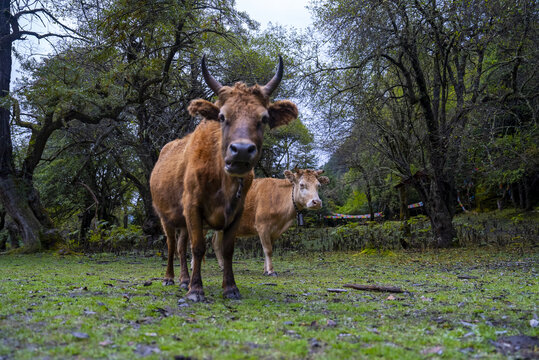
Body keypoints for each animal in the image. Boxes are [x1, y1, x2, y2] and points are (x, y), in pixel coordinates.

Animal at [150, 54, 298, 300]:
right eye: (221, 116)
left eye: (264, 118)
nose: (241, 151)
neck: (222, 179)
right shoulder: (192, 206)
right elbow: (198, 247)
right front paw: (196, 289)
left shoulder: (236, 211)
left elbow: (227, 250)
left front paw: (230, 287)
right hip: (165, 217)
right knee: (171, 246)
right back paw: (170, 278)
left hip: (182, 221)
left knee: (180, 246)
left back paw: (183, 279)